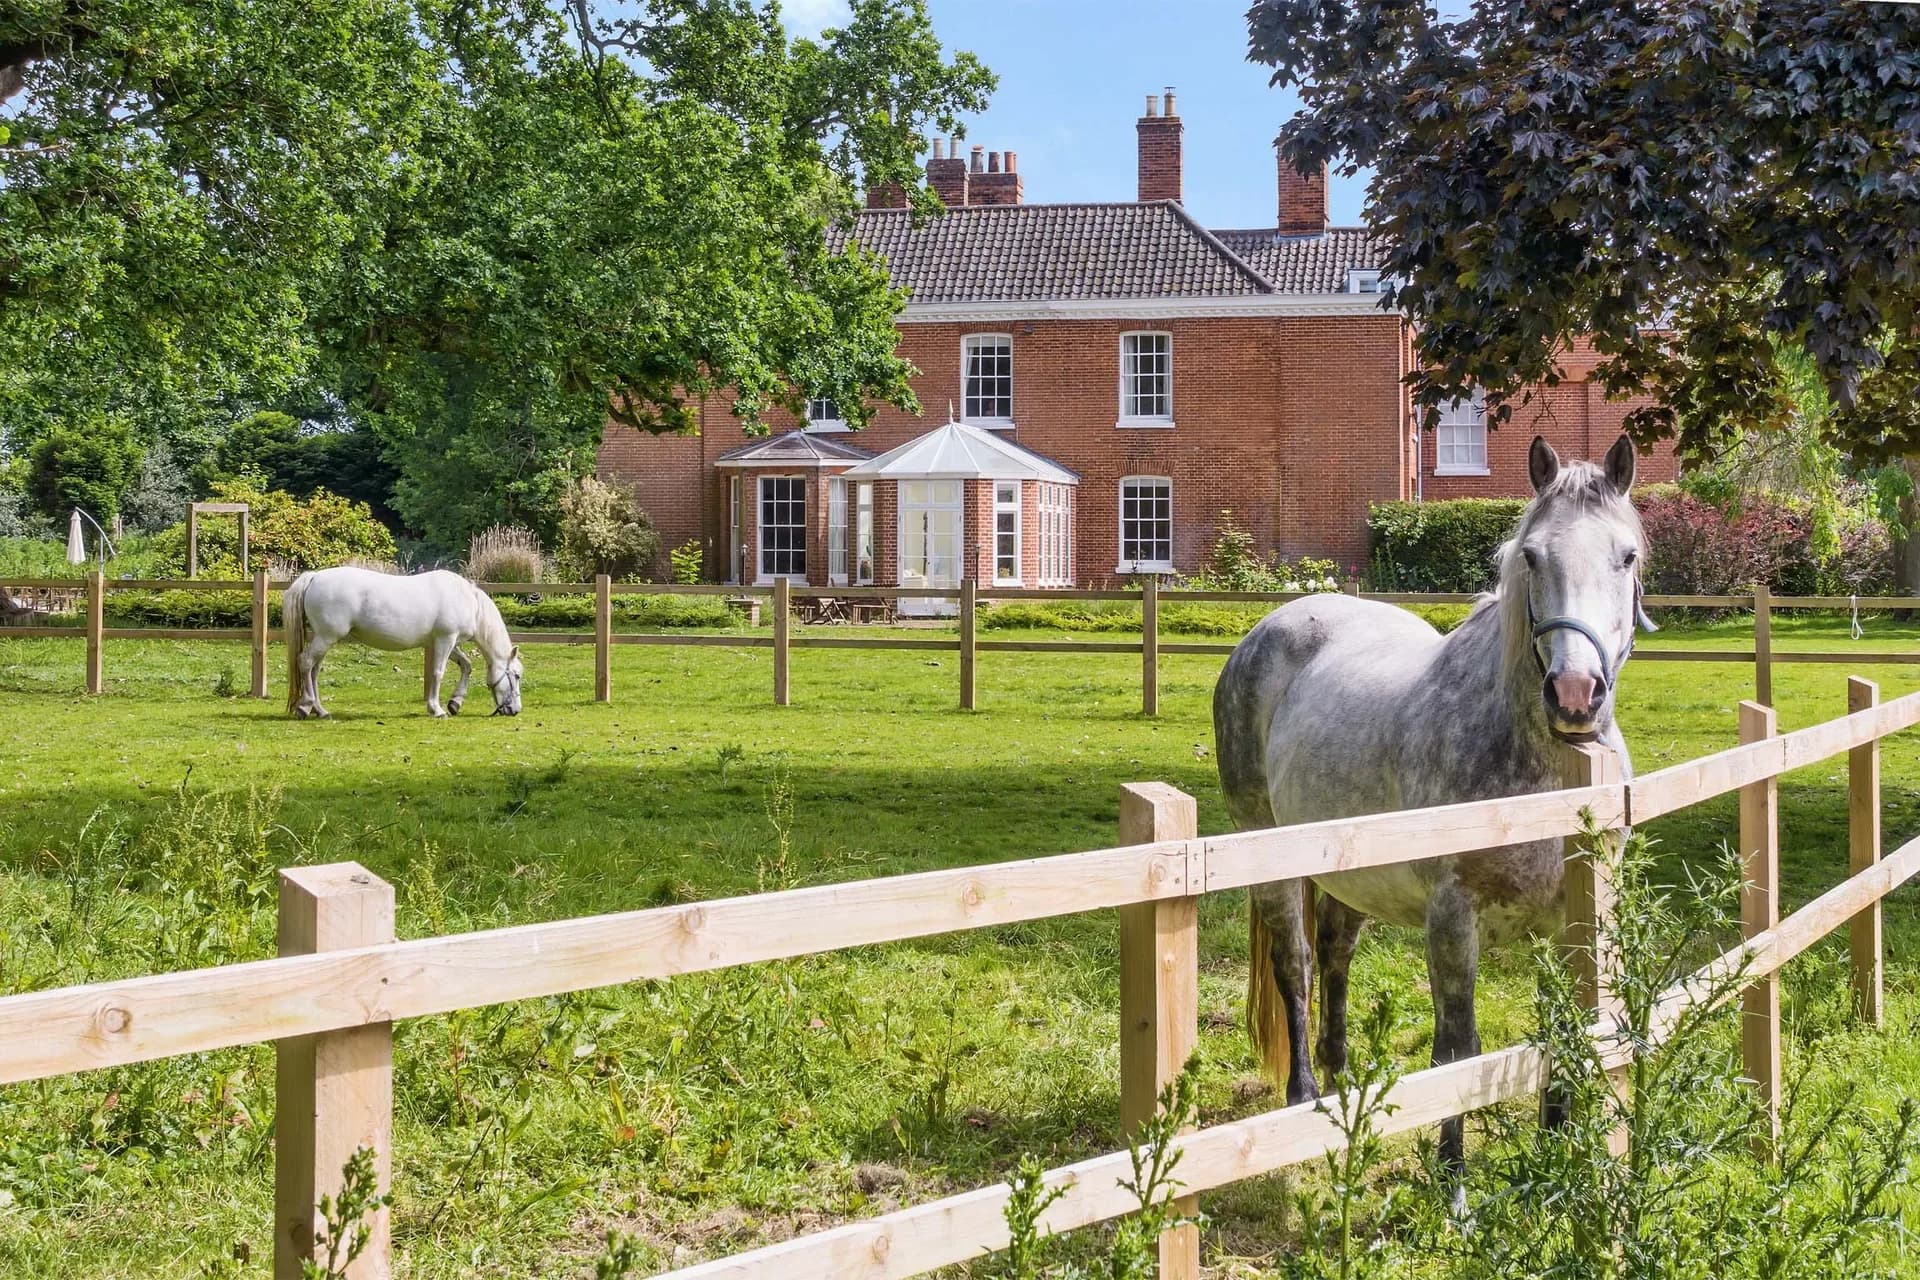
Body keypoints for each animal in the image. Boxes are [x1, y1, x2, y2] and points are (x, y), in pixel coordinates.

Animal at [283, 566, 524, 719]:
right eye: (517, 676)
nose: (515, 710)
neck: (469, 602)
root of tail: (314, 577)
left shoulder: (447, 643)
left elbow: (467, 665)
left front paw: (455, 702)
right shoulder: (445, 640)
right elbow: (438, 673)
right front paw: (437, 709)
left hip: (323, 638)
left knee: (314, 670)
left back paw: (320, 710)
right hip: (326, 637)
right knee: (305, 663)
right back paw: (305, 706)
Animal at [1213, 435, 1647, 1186]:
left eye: (1626, 557)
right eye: (1532, 557)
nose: (1574, 693)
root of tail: (1268, 628)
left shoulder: (1569, 919)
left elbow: (1558, 1031)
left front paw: (1554, 1161)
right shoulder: (1452, 917)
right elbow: (1456, 1052)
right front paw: (1454, 1185)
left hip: (1347, 874)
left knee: (1336, 954)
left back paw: (1340, 1084)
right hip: (1269, 852)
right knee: (1296, 964)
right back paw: (1303, 1097)